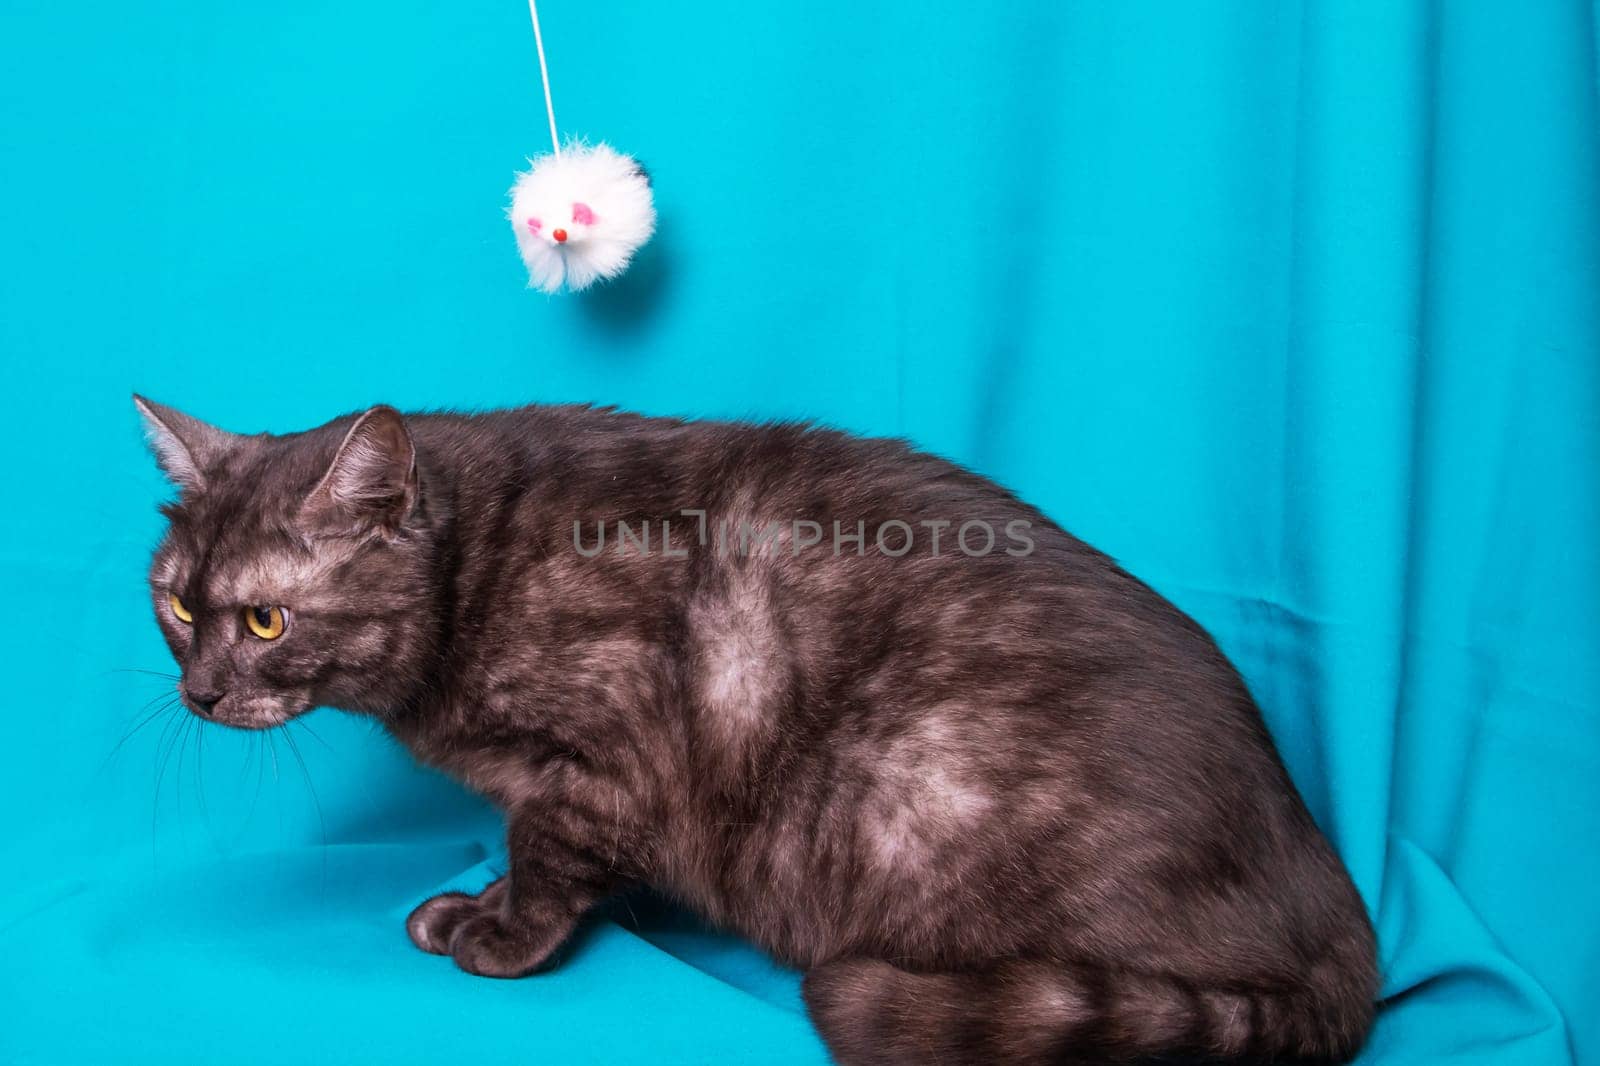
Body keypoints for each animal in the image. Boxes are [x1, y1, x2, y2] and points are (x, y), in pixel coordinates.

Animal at [134, 393, 1376, 1056]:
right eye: (180, 604)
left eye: (263, 617)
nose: (200, 693)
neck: (473, 578)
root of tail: (1335, 905)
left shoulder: (604, 765)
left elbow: (547, 858)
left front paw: (502, 931)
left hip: (922, 792)